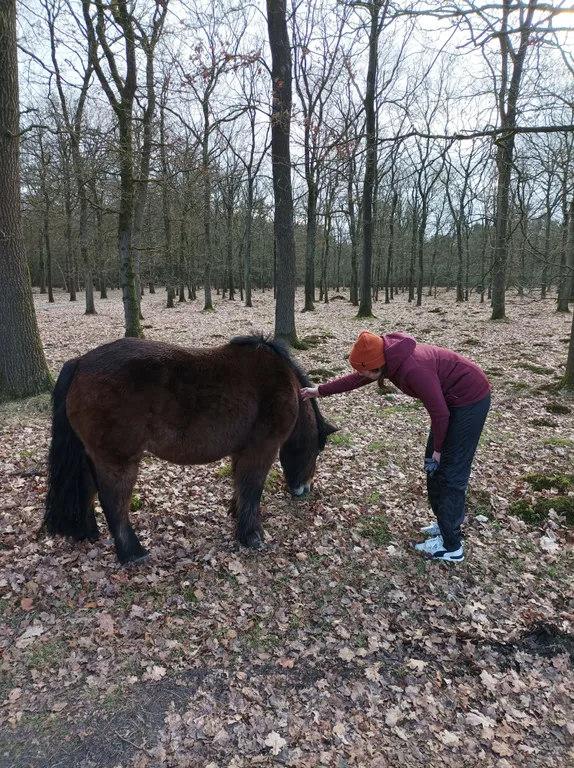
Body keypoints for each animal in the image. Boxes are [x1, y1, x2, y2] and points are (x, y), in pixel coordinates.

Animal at [42, 336, 338, 564]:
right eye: (317, 450)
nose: (304, 490)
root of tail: (80, 362)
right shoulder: (261, 450)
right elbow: (252, 489)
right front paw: (252, 536)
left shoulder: (241, 451)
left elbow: (240, 486)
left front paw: (236, 515)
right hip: (117, 460)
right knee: (113, 502)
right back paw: (133, 553)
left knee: (87, 490)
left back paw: (90, 533)